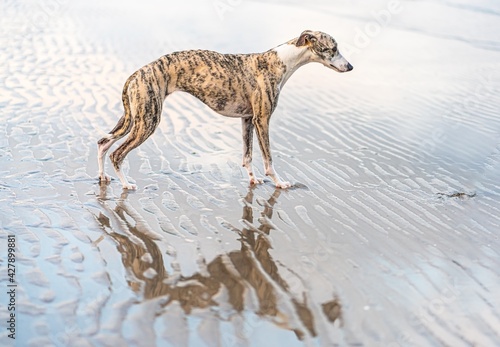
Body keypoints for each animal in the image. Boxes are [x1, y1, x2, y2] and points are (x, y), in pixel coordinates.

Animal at [97, 29, 354, 190]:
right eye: (332, 48)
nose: (351, 67)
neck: (280, 61)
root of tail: (136, 74)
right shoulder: (262, 119)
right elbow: (269, 159)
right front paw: (279, 182)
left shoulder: (248, 119)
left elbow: (247, 156)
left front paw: (253, 180)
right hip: (148, 120)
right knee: (117, 153)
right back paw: (126, 184)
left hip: (133, 117)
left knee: (103, 142)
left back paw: (103, 177)